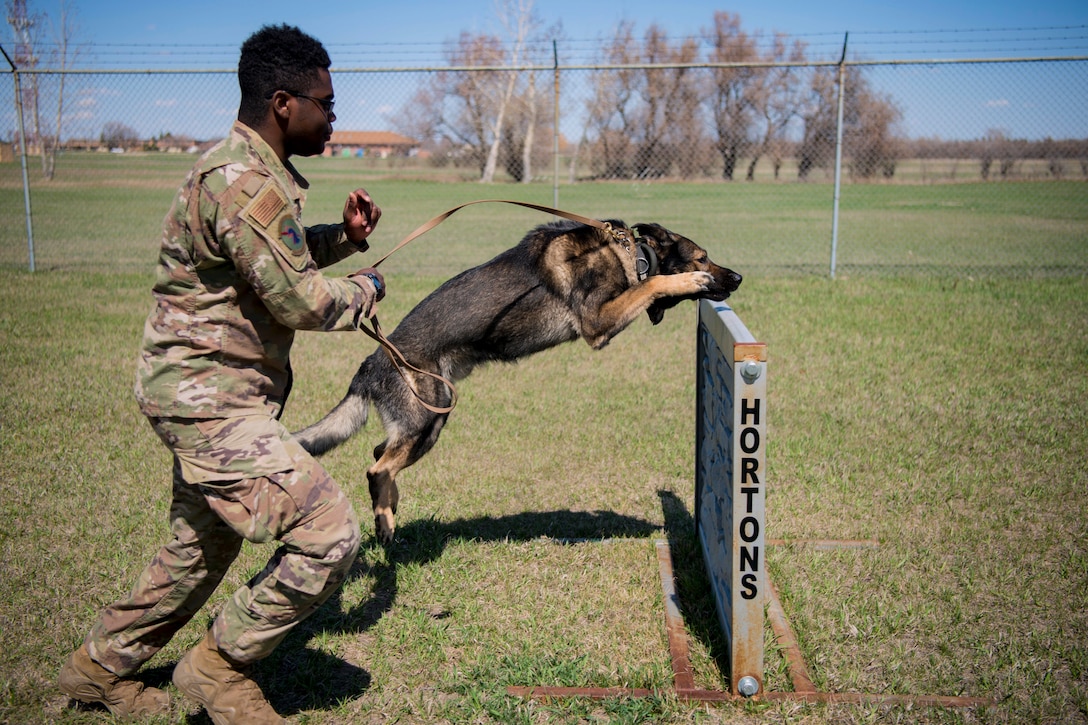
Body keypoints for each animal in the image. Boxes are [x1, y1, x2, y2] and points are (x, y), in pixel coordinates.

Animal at [293, 219, 744, 542]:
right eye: (702, 258)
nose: (738, 278)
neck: (630, 256)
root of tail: (370, 363)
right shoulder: (598, 323)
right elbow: (653, 284)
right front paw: (685, 281)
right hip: (426, 417)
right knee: (377, 468)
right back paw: (385, 522)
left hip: (429, 422)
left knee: (379, 454)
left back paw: (389, 508)